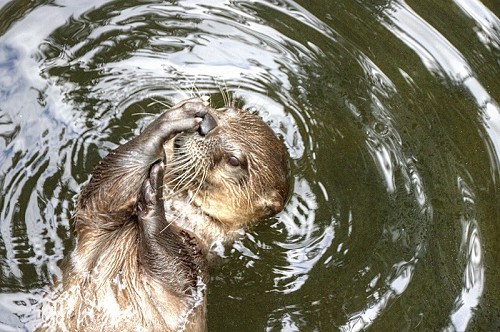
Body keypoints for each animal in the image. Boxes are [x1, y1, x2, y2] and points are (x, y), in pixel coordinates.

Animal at [39, 97, 290, 330]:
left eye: (234, 161)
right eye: (226, 110)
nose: (208, 123)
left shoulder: (194, 264)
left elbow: (172, 266)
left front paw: (154, 197)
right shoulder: (94, 225)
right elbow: (105, 190)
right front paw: (175, 117)